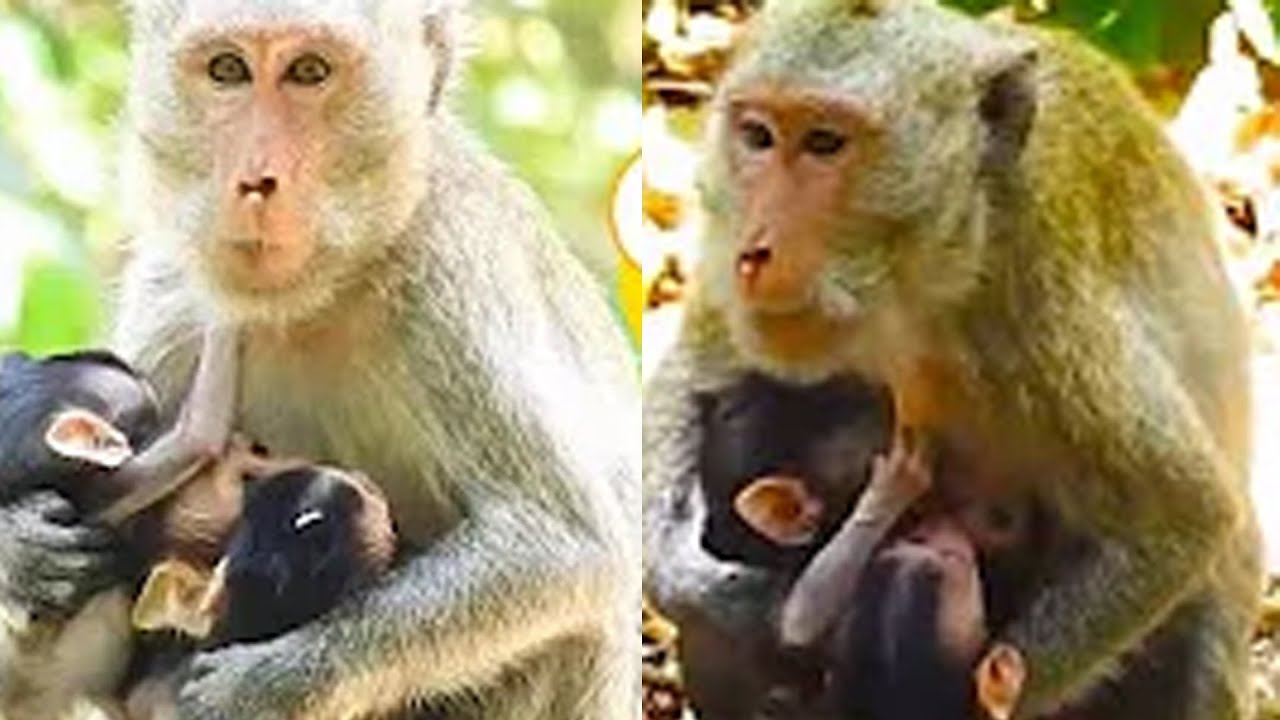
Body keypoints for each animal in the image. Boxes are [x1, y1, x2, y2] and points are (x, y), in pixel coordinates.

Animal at [108, 1, 639, 718]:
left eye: (309, 72)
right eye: (228, 69)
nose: (256, 181)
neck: (317, 300)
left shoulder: (450, 269)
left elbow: (563, 544)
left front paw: (271, 684)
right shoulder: (175, 290)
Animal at [645, 1, 1260, 718]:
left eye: (825, 143)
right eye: (758, 136)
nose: (754, 251)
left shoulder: (1040, 312)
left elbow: (1183, 516)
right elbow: (689, 379)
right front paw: (701, 587)